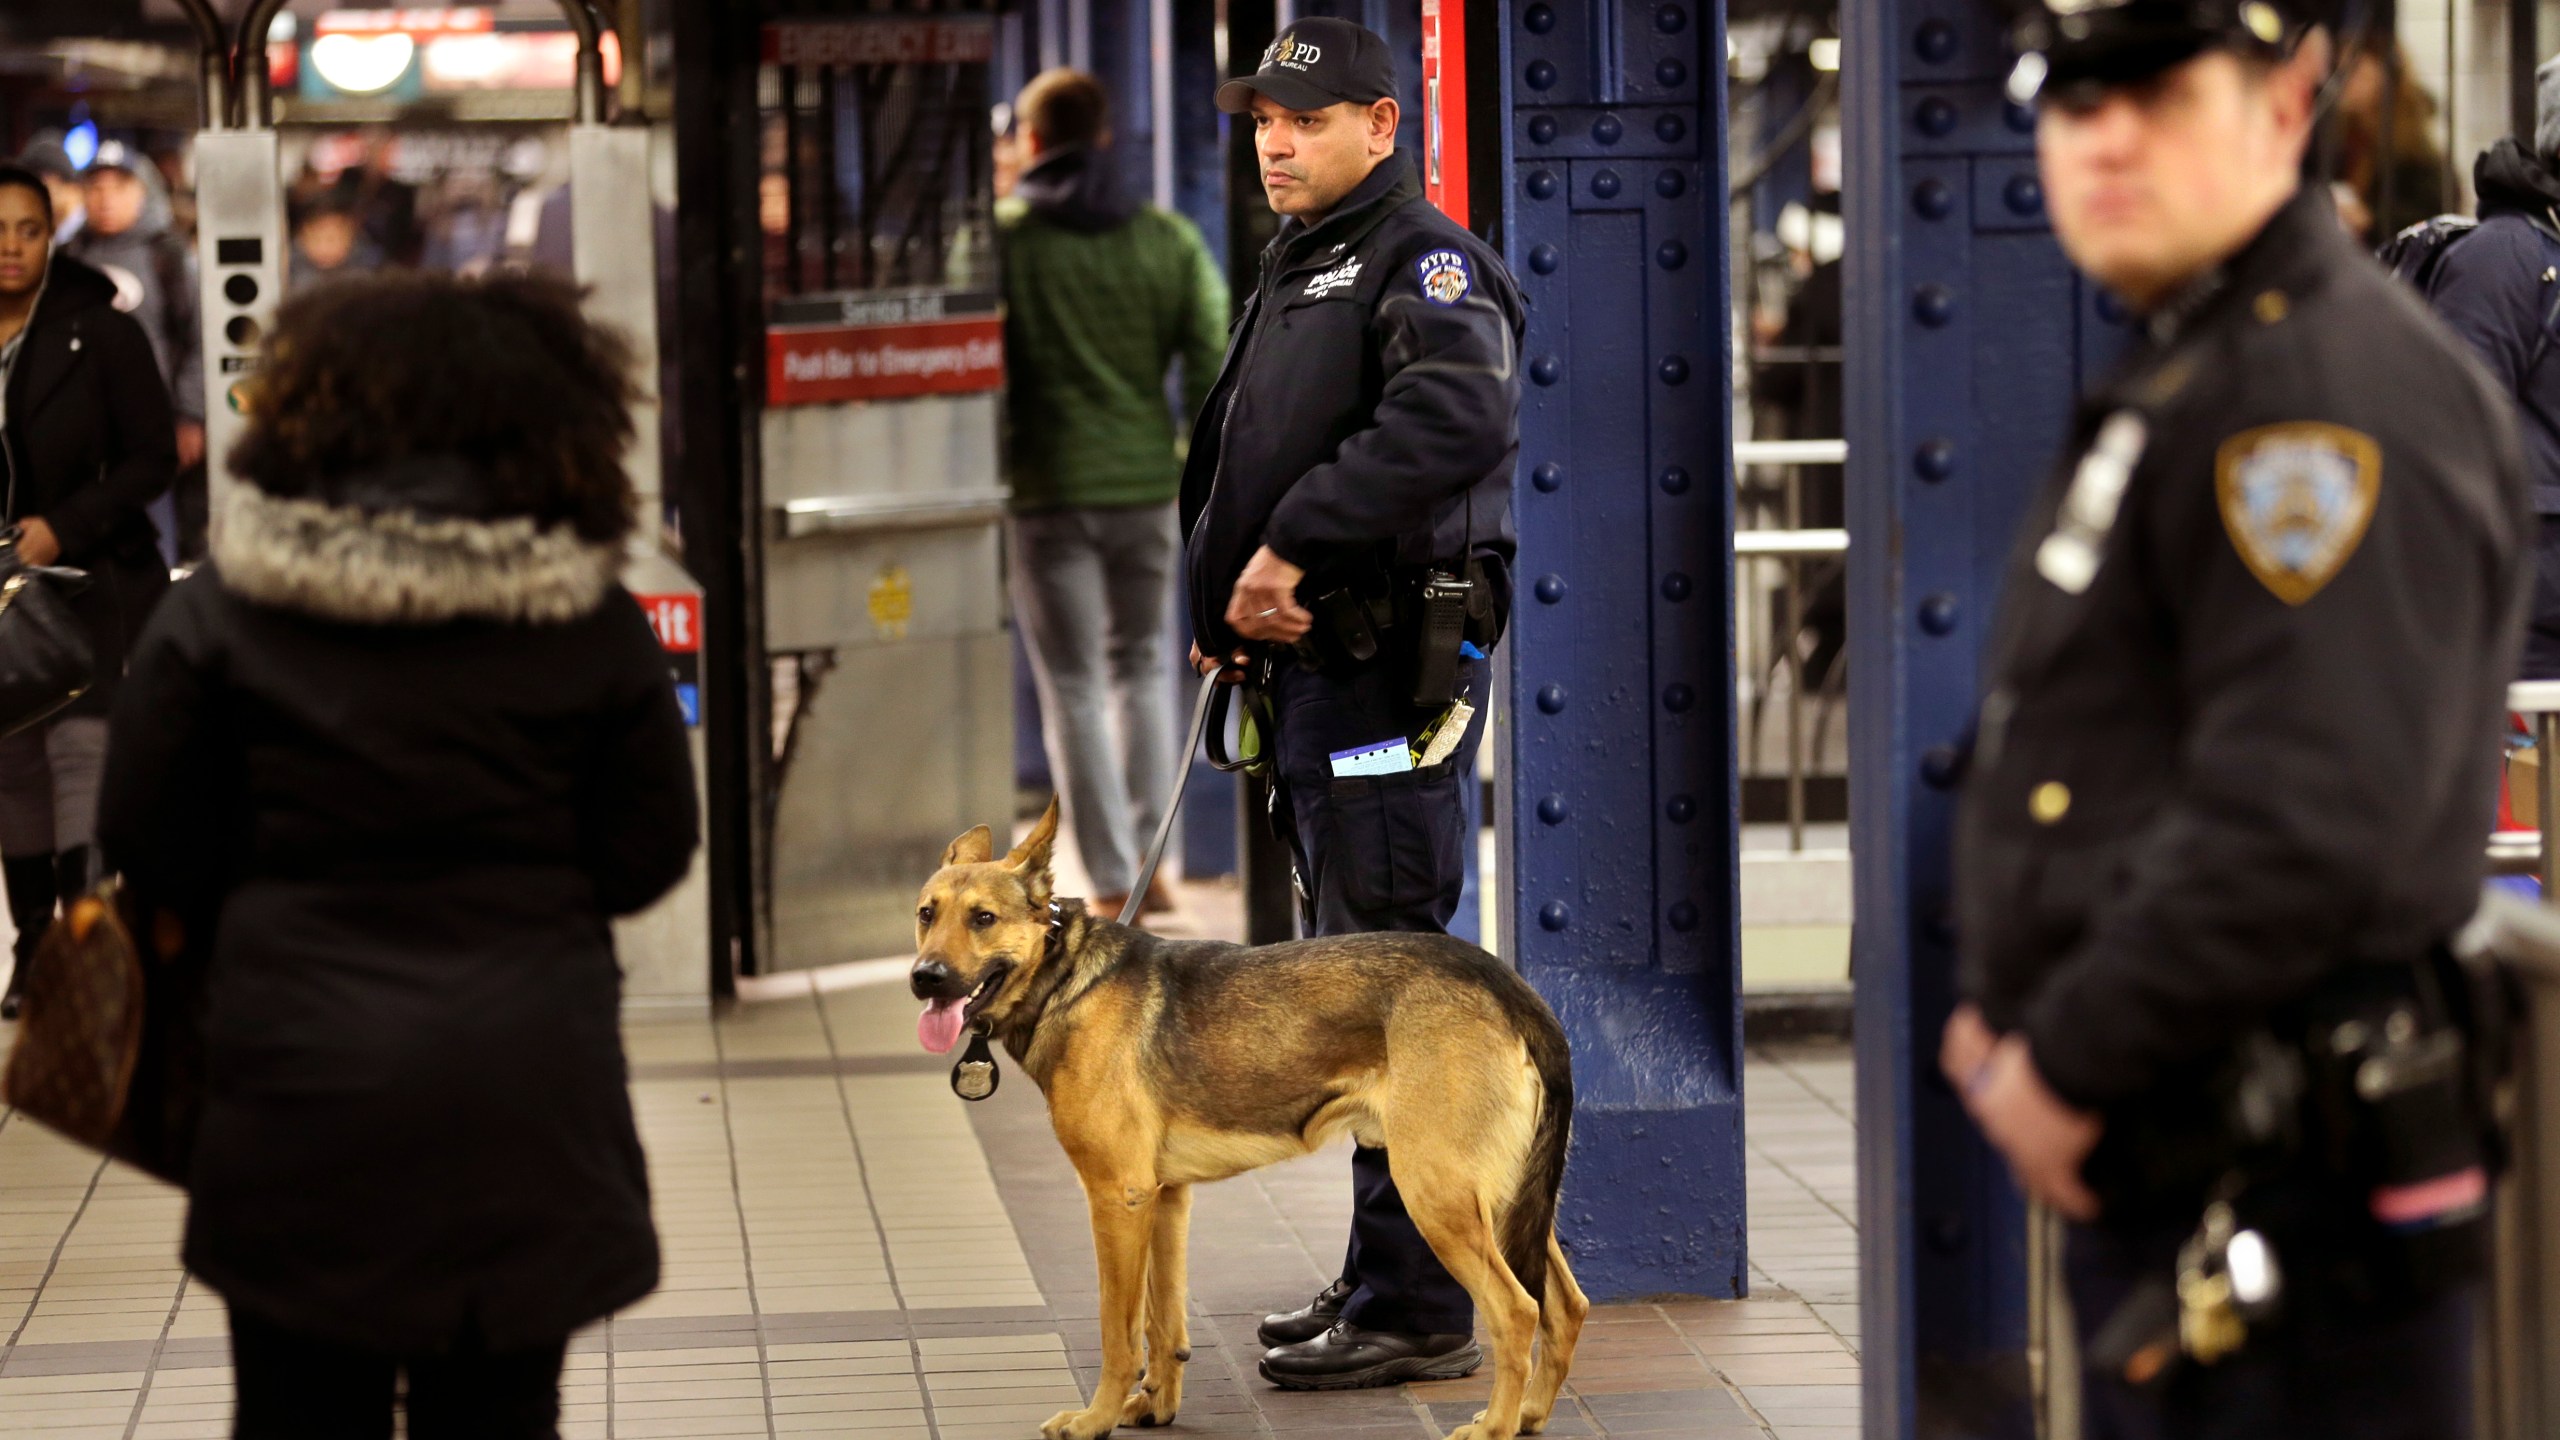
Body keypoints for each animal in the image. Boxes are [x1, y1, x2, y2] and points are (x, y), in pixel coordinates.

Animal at [901, 794, 1576, 1434]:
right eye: (926, 914)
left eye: (983, 919)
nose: (923, 978)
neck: (1065, 976)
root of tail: (1506, 984)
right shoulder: (1162, 1199)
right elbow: (1163, 1323)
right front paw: (1155, 1406)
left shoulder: (1116, 1198)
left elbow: (1118, 1331)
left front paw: (1095, 1419)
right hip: (1502, 1199)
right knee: (1565, 1307)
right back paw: (1531, 1415)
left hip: (1435, 1191)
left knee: (1518, 1312)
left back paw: (1496, 1425)